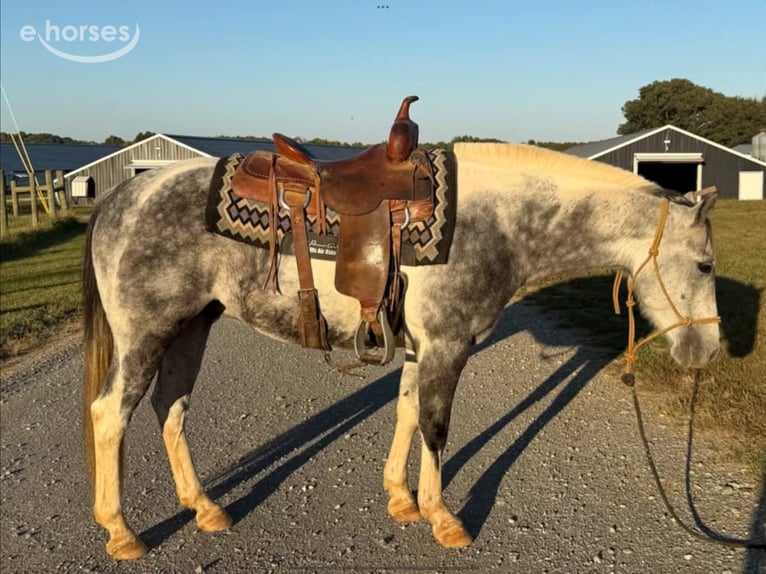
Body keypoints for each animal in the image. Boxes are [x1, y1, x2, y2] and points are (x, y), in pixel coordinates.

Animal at [82, 142, 720, 559]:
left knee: (171, 409)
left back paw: (206, 508)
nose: (708, 351)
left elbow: (408, 412)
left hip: (191, 328)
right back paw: (122, 532)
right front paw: (444, 519)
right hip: (146, 335)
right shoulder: (447, 345)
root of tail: (127, 190)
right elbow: (436, 427)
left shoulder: (421, 348)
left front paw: (401, 500)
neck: (499, 223)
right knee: (110, 414)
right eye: (706, 265)